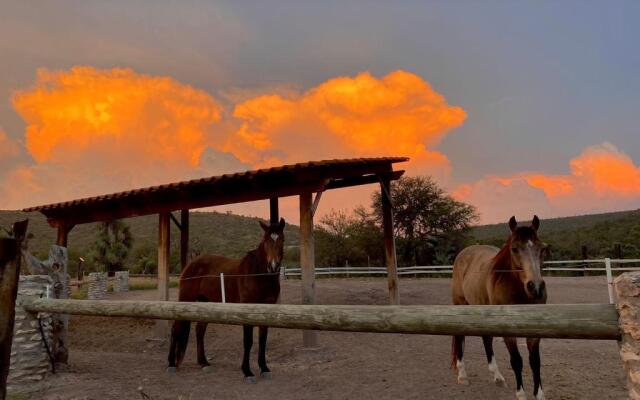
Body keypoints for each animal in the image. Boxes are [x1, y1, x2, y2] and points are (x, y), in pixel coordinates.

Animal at [168, 217, 284, 382]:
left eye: (281, 239)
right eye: (266, 240)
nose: (273, 266)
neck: (258, 275)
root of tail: (190, 264)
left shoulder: (266, 310)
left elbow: (263, 340)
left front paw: (264, 368)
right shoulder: (247, 311)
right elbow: (248, 341)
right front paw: (247, 372)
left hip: (206, 302)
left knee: (199, 331)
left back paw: (204, 363)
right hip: (185, 299)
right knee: (176, 328)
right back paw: (171, 364)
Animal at [450, 216, 552, 400]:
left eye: (542, 249)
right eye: (514, 249)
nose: (536, 288)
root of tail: (464, 253)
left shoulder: (534, 331)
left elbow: (535, 361)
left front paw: (539, 394)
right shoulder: (508, 332)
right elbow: (516, 361)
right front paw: (521, 394)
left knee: (486, 339)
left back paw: (497, 376)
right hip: (460, 305)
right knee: (460, 336)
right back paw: (462, 375)